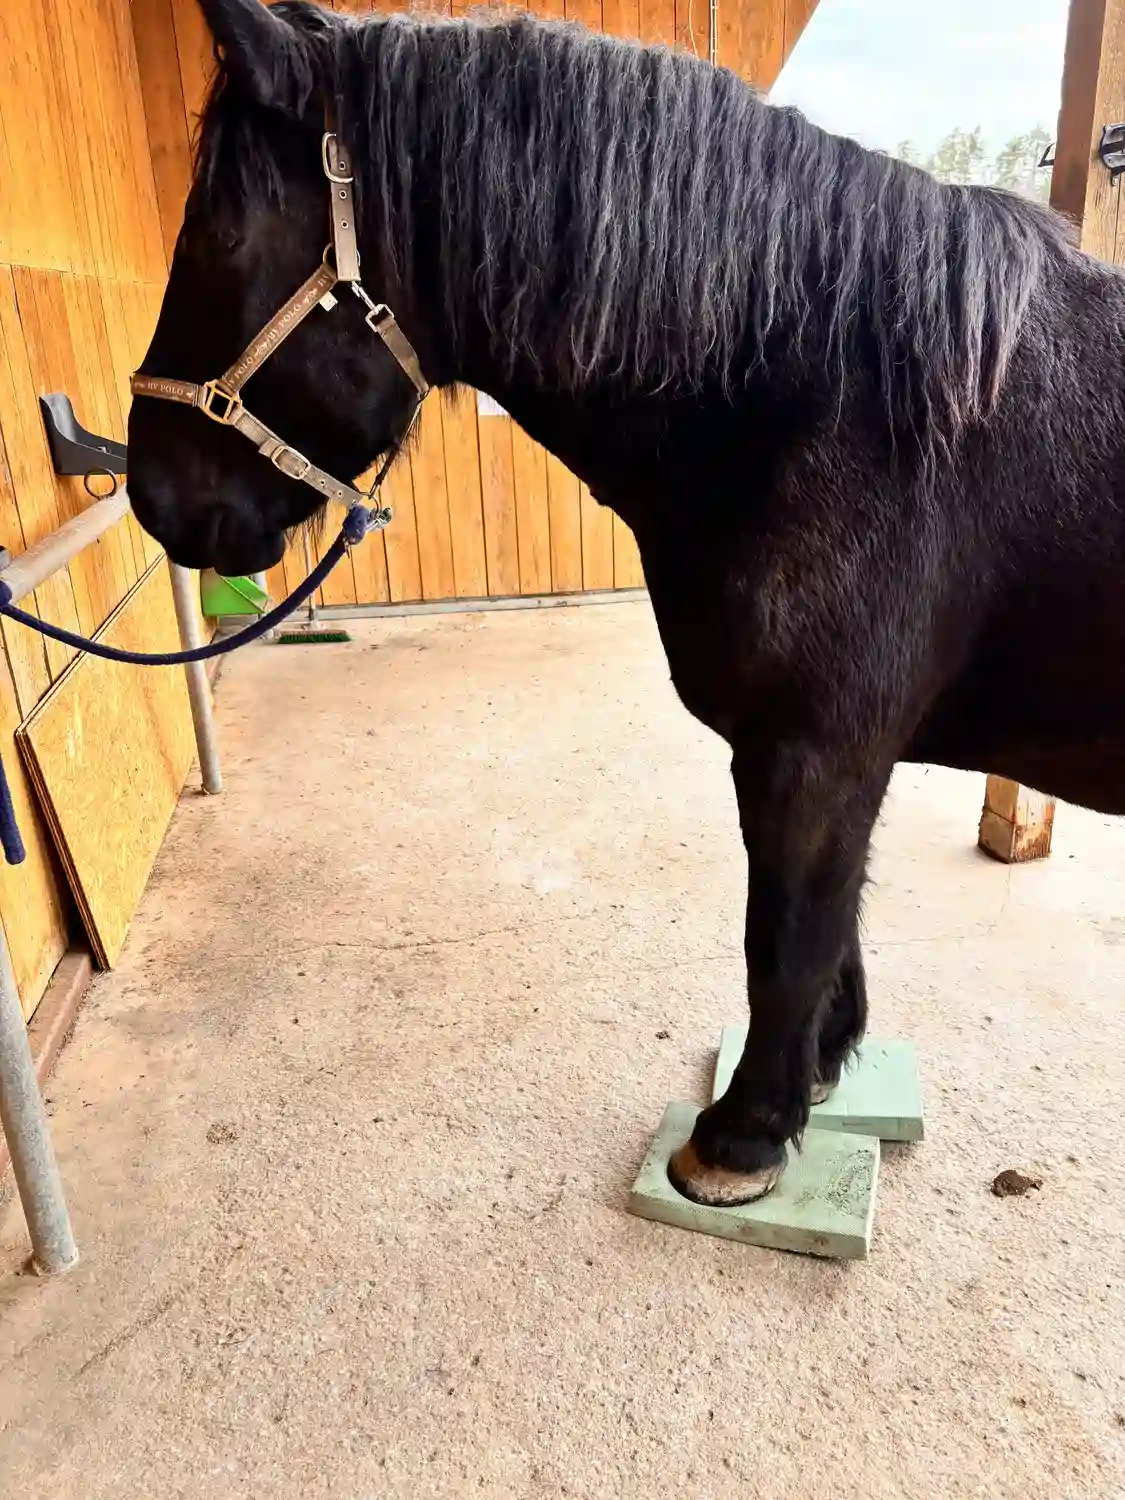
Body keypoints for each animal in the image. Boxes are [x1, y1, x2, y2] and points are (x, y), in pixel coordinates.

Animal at [127, 0, 1125, 1210]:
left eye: (216, 240)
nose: (152, 494)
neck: (843, 399)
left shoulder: (812, 755)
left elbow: (782, 941)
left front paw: (740, 1140)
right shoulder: (829, 761)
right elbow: (830, 931)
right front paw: (818, 1077)